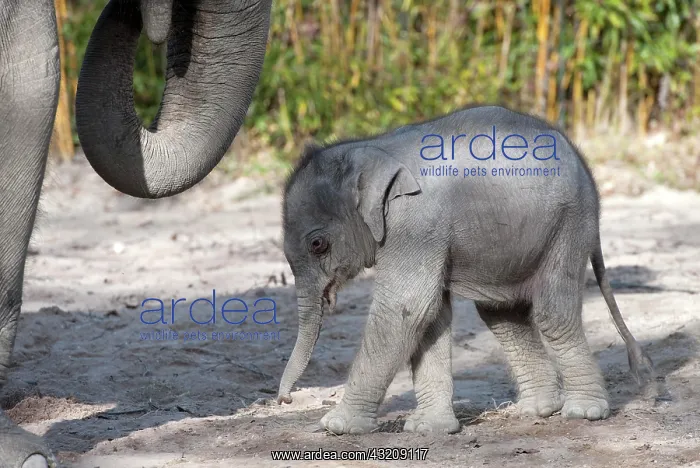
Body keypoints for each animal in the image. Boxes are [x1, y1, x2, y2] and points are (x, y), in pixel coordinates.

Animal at [276, 105, 655, 435]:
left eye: (317, 244)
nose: (285, 400)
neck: (371, 150)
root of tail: (585, 166)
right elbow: (429, 317)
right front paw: (428, 430)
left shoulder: (417, 223)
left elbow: (405, 308)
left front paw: (336, 427)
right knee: (502, 314)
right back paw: (536, 410)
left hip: (569, 223)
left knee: (552, 313)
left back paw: (584, 413)